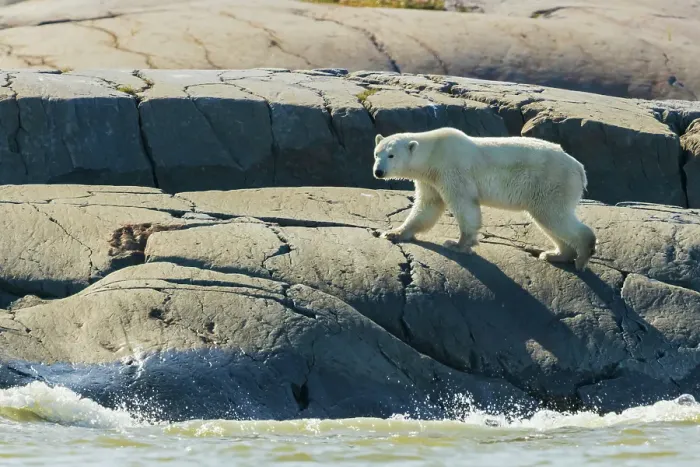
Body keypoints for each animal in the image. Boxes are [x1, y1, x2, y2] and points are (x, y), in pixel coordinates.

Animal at [372, 127, 597, 271]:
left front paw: (458, 244)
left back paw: (582, 256)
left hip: (551, 182)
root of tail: (579, 168)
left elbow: (464, 205)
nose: (378, 172)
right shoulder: (431, 180)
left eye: (391, 155)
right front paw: (394, 233)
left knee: (553, 215)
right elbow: (427, 206)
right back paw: (555, 254)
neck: (433, 152)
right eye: (376, 154)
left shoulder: (452, 169)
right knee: (549, 220)